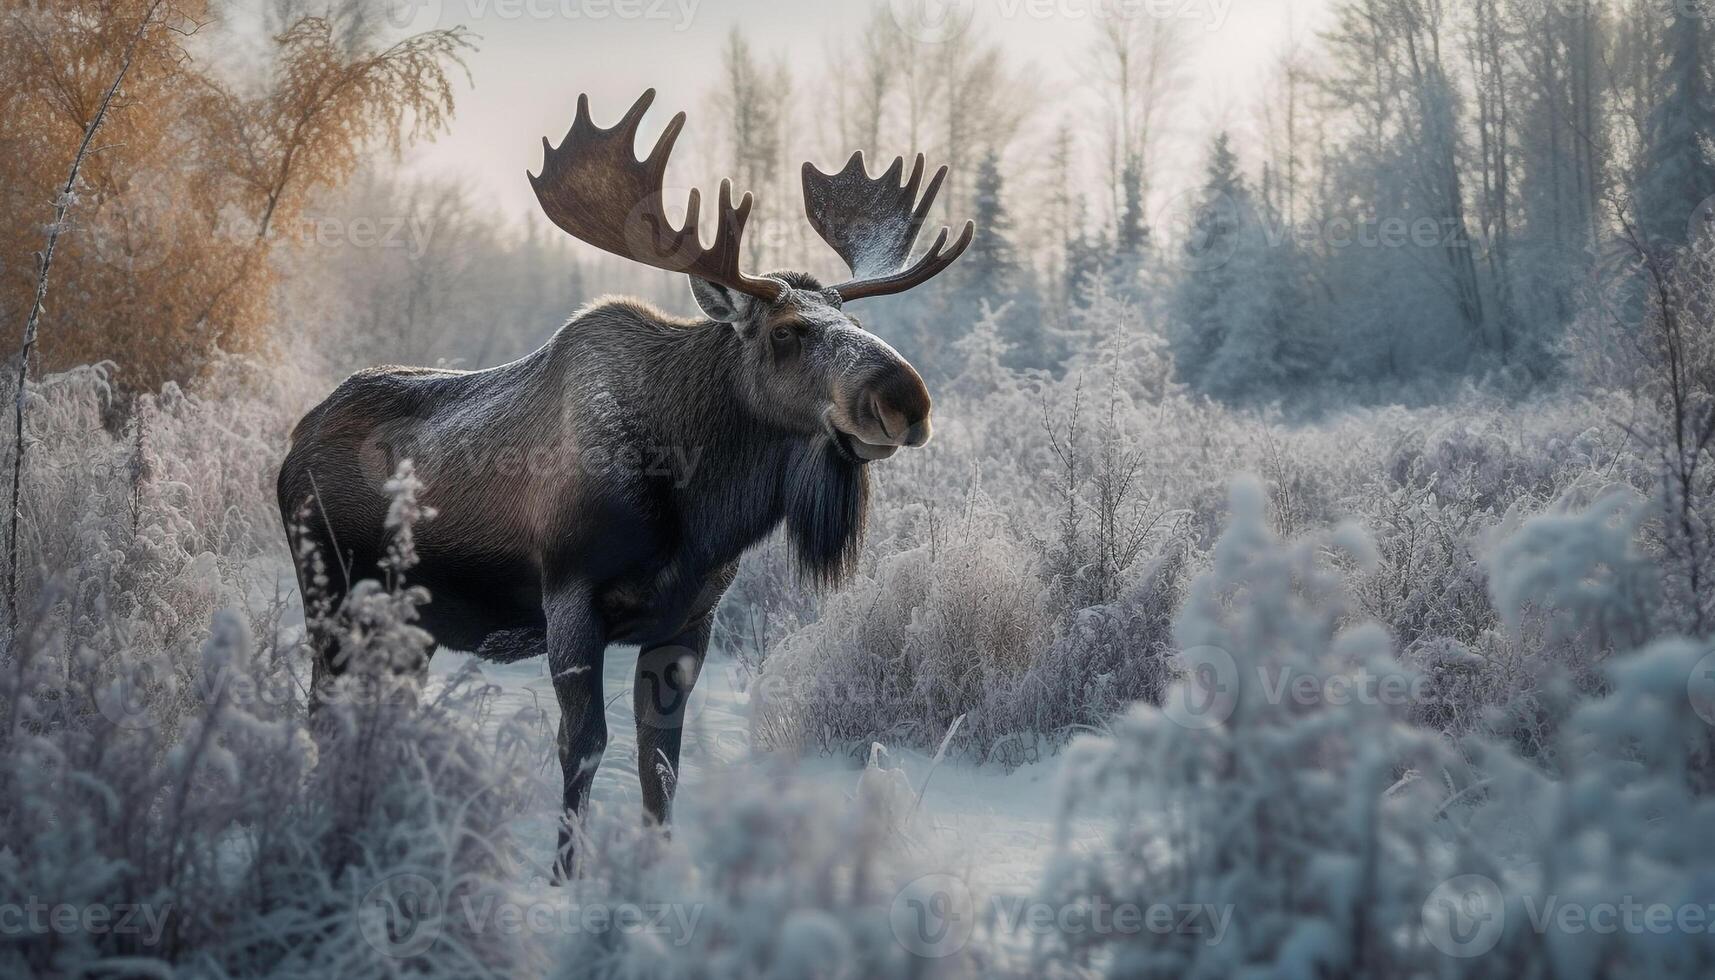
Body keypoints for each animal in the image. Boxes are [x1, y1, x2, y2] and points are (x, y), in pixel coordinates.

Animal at [276, 88, 974, 878]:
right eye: (786, 332)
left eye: (850, 314)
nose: (904, 397)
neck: (700, 511)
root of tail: (293, 445)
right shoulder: (570, 599)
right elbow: (583, 749)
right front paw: (563, 876)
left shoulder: (689, 618)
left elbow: (659, 762)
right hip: (330, 597)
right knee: (321, 711)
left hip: (408, 627)